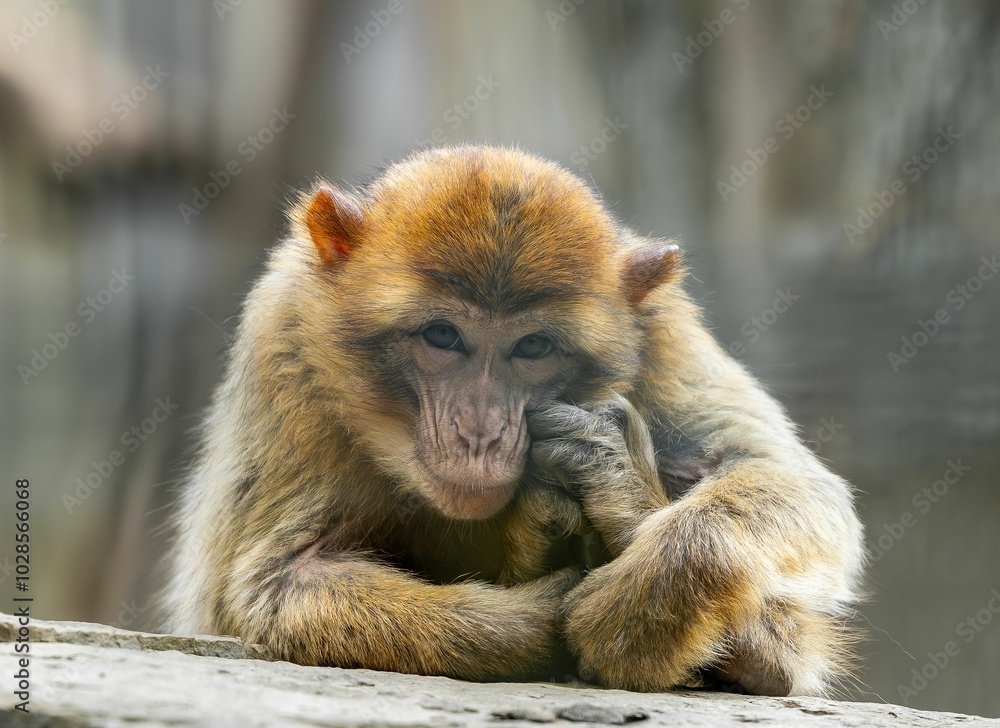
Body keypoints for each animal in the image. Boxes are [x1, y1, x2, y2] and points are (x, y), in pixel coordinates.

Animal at [164, 145, 864, 696]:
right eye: (442, 336)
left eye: (532, 348)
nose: (480, 432)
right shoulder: (285, 348)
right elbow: (274, 585)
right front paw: (534, 623)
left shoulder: (662, 330)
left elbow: (797, 485)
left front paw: (637, 566)